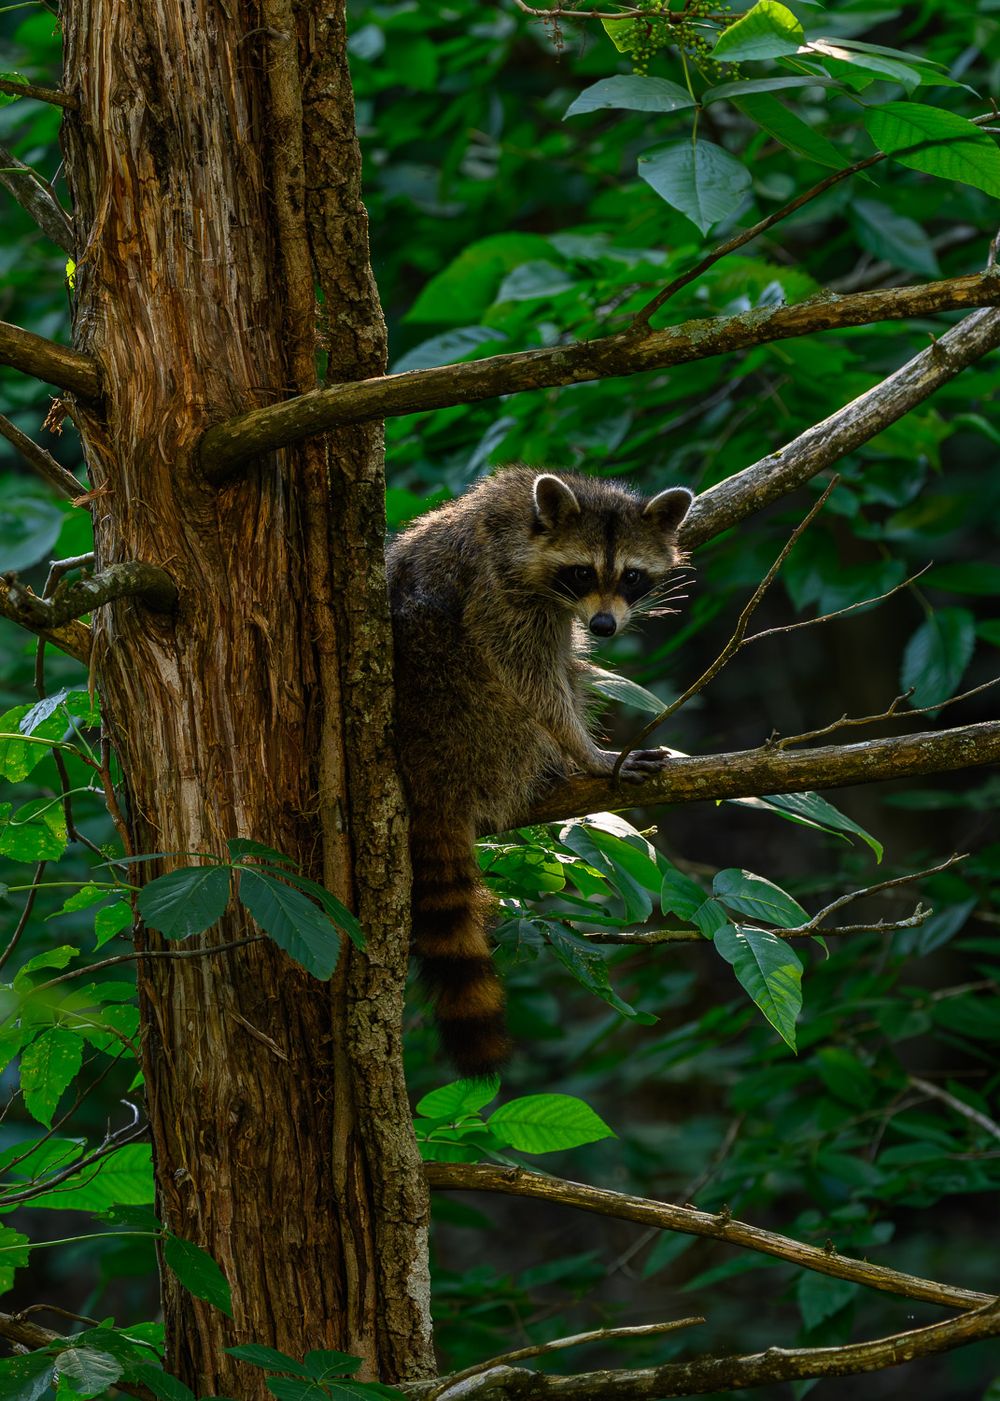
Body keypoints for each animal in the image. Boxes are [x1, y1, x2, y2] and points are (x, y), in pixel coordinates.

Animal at [387, 466, 693, 1078]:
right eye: (581, 572)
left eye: (632, 576)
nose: (603, 626)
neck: (527, 521)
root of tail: (433, 770)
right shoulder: (499, 590)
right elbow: (531, 677)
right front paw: (587, 751)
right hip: (483, 725)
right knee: (549, 681)